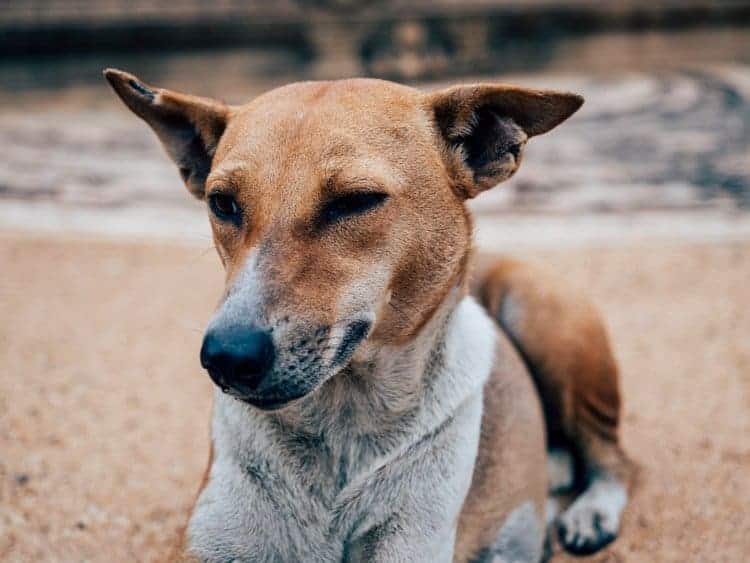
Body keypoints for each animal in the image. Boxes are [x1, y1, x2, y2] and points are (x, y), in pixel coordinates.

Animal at [106, 70, 632, 563]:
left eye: (355, 201)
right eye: (223, 203)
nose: (227, 357)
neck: (342, 423)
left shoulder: (414, 541)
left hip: (541, 315)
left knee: (614, 456)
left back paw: (590, 512)